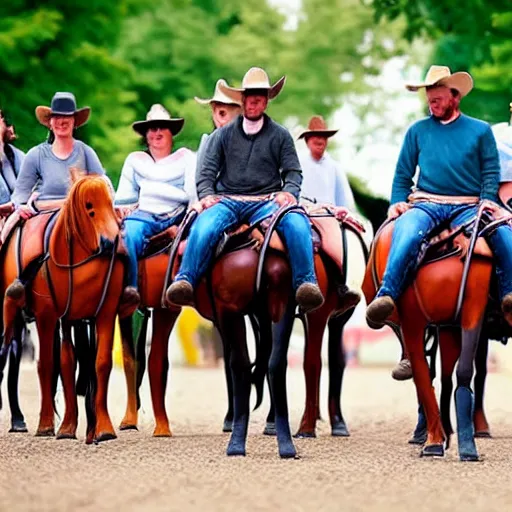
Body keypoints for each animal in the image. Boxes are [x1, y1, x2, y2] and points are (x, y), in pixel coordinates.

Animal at [1, 174, 124, 442]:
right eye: (89, 208)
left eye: (112, 204)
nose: (111, 243)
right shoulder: (47, 316)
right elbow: (48, 364)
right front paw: (49, 425)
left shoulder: (102, 313)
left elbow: (96, 362)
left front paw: (101, 428)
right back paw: (20, 420)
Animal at [362, 212, 494, 460]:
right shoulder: (413, 321)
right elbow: (423, 376)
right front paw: (433, 440)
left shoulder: (470, 311)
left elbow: (461, 372)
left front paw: (465, 445)